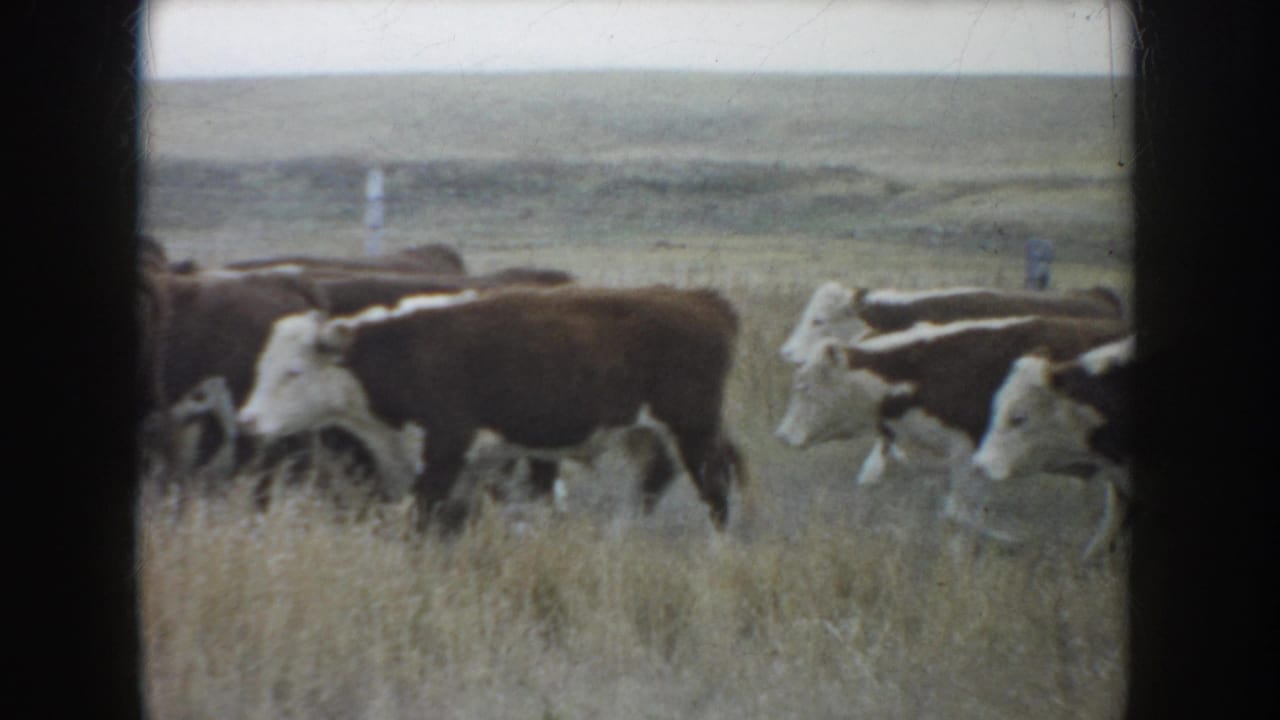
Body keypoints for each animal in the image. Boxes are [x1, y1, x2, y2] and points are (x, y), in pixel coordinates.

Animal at [238, 285, 748, 533]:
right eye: (262, 366)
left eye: (293, 372)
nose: (247, 421)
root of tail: (702, 300)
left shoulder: (444, 454)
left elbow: (421, 521)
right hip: (647, 432)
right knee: (655, 478)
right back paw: (622, 534)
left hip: (693, 429)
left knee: (715, 493)